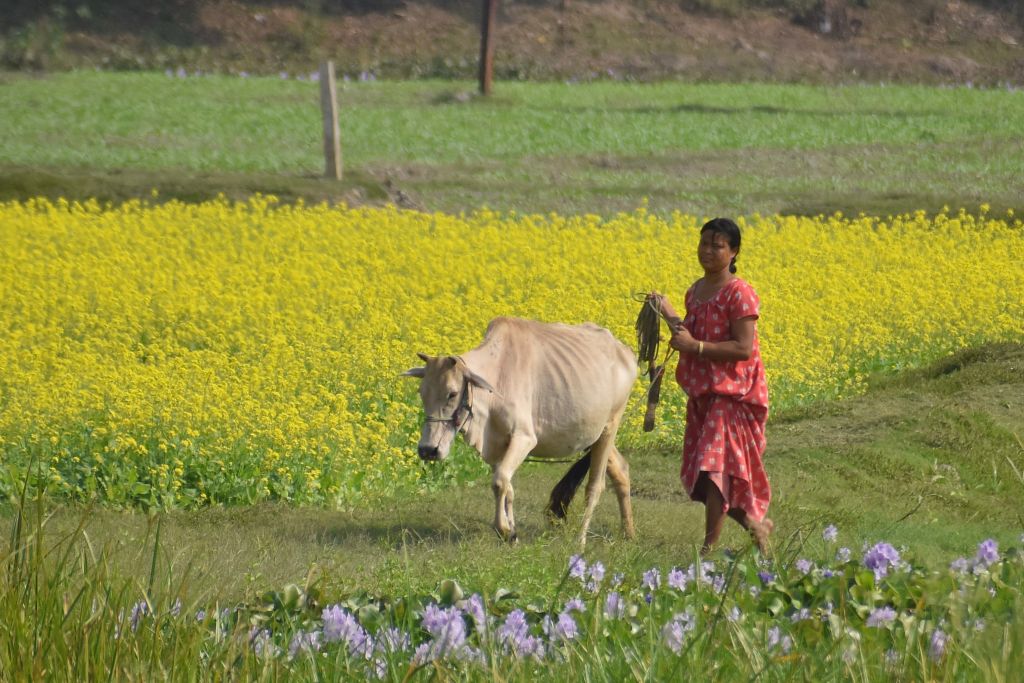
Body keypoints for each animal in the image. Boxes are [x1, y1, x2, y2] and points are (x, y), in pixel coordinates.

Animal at [401, 317, 634, 548]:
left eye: (452, 393)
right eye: (422, 392)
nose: (428, 450)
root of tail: (625, 352)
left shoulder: (524, 438)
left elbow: (499, 481)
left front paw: (503, 530)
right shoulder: (496, 446)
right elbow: (507, 487)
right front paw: (512, 532)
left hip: (610, 427)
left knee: (595, 487)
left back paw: (581, 540)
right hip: (595, 436)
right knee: (621, 469)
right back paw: (628, 533)